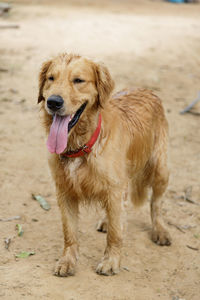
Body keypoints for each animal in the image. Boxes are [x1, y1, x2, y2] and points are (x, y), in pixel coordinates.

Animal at [38, 53, 171, 276]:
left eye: (78, 80)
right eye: (51, 78)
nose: (53, 102)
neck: (82, 145)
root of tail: (146, 90)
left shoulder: (115, 189)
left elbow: (116, 234)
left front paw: (111, 262)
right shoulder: (64, 191)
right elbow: (69, 233)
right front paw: (67, 261)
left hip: (160, 169)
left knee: (156, 204)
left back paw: (160, 230)